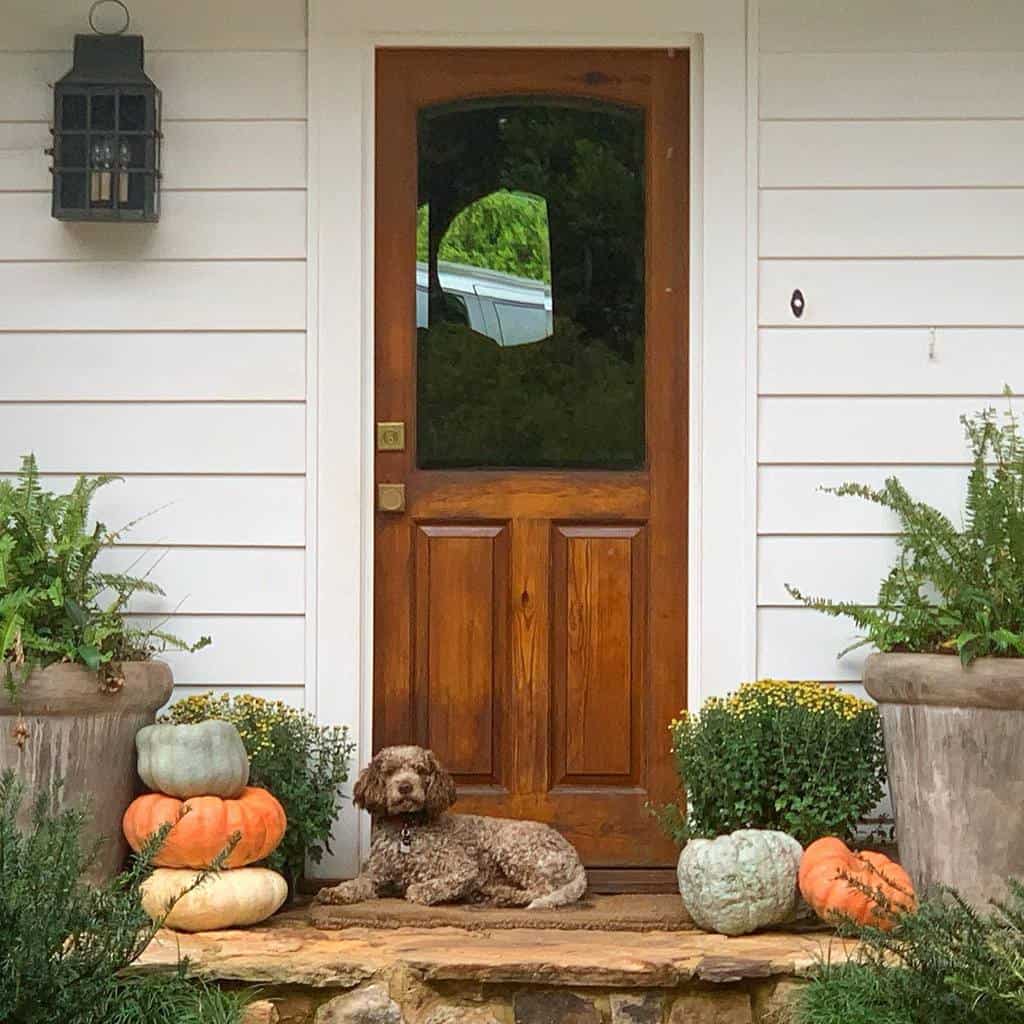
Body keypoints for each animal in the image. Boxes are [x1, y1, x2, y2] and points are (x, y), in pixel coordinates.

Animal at [313, 749, 585, 909]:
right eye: (390, 771)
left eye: (421, 770)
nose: (405, 787)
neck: (407, 827)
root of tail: (576, 859)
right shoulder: (375, 876)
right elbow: (356, 884)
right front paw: (334, 892)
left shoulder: (464, 869)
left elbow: (428, 885)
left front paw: (420, 891)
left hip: (513, 848)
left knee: (543, 890)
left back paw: (506, 897)